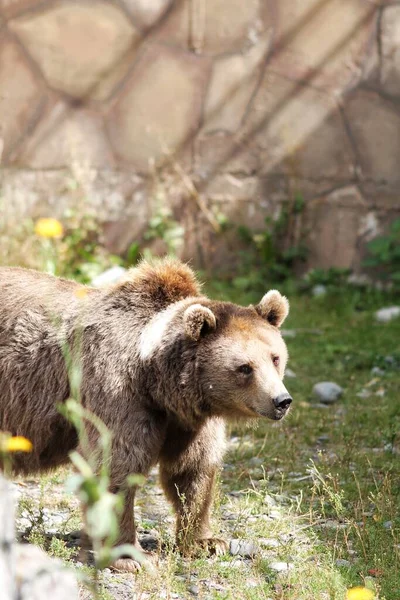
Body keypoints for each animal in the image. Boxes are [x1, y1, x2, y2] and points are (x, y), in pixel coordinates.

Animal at [0, 258, 292, 572]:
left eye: (275, 358)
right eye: (245, 367)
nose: (281, 400)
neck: (158, 380)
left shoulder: (189, 422)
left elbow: (193, 469)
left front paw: (206, 541)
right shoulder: (117, 392)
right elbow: (116, 465)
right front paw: (130, 556)